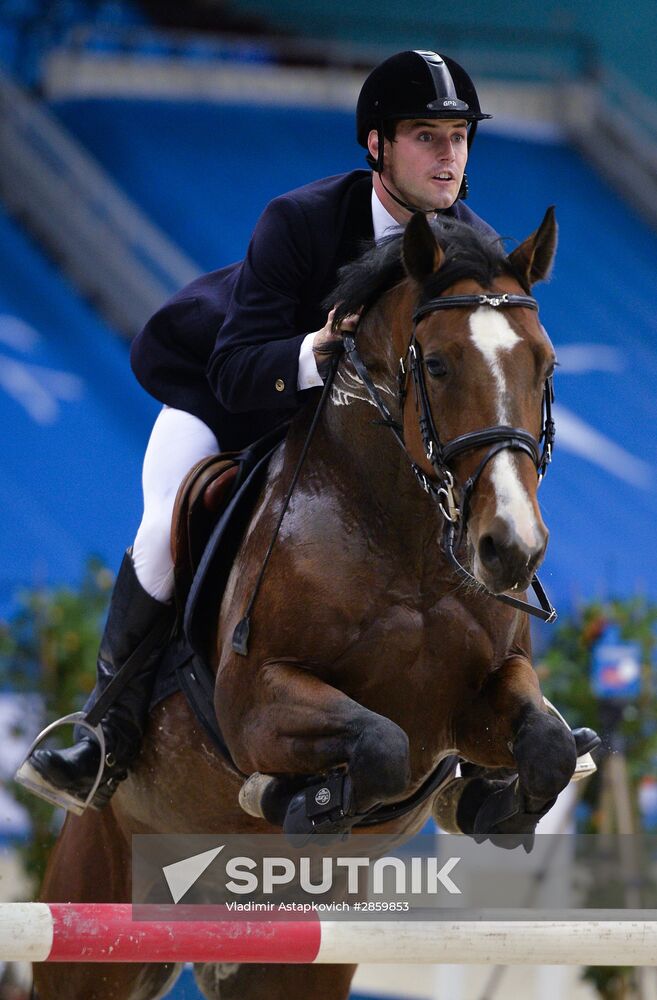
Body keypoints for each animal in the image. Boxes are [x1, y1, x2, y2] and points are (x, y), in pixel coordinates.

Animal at [36, 209, 580, 1000]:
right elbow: (378, 744)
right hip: (97, 916)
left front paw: (493, 803)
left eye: (544, 366)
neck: (409, 544)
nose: (511, 549)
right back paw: (86, 761)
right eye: (437, 365)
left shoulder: (479, 696)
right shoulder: (254, 700)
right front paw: (293, 801)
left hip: (292, 968)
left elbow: (547, 747)